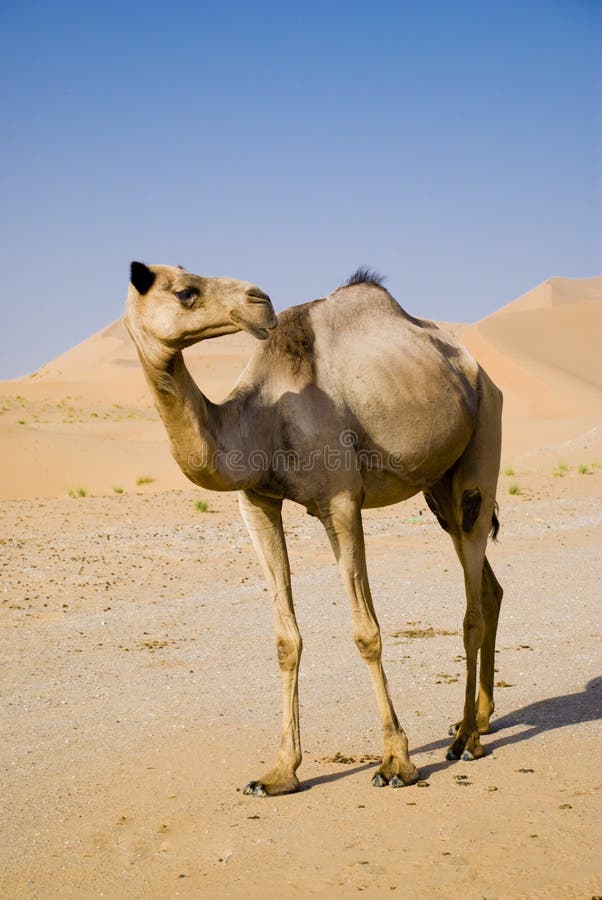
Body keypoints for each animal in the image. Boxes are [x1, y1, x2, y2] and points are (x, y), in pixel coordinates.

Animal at [123, 258, 502, 796]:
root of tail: (478, 370)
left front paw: (395, 762)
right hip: (438, 487)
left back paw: (466, 739)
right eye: (186, 291)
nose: (259, 300)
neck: (262, 420)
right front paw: (279, 772)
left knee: (471, 602)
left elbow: (366, 632)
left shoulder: (340, 502)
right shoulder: (256, 501)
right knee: (488, 588)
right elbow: (285, 639)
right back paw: (480, 720)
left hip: (483, 435)